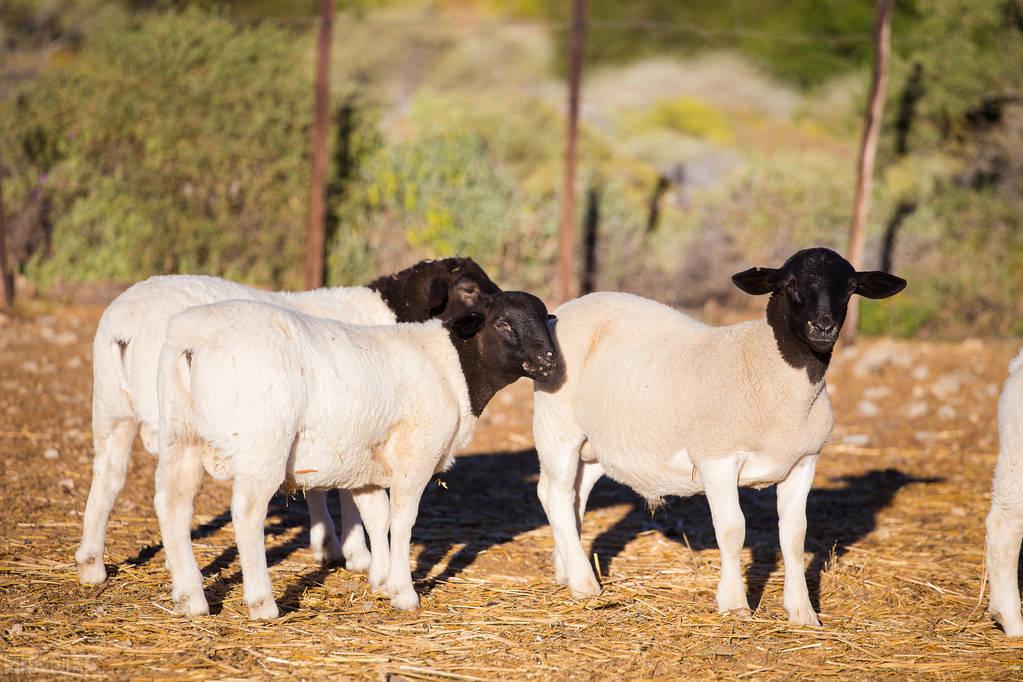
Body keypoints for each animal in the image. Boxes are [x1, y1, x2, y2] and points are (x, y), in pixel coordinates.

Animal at [75, 258, 499, 584]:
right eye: (468, 289)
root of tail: (123, 327)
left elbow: (319, 485)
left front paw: (328, 543)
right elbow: (345, 490)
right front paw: (354, 552)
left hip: (111, 411)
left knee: (108, 478)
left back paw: (92, 565)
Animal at [151, 290, 556, 617]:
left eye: (544, 318)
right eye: (502, 323)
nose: (549, 360)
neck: (450, 366)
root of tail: (194, 341)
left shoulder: (366, 463)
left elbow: (377, 518)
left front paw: (382, 579)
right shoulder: (416, 453)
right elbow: (402, 521)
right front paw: (404, 592)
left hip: (180, 437)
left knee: (172, 505)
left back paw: (190, 599)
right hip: (262, 445)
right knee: (247, 514)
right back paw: (262, 603)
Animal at [531, 248, 908, 625]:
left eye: (850, 288)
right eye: (789, 285)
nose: (823, 327)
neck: (767, 369)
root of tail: (568, 308)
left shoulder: (804, 461)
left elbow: (794, 534)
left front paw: (802, 611)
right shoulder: (717, 458)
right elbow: (732, 529)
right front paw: (735, 604)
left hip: (598, 444)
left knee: (574, 495)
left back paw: (566, 570)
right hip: (557, 426)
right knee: (556, 496)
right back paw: (584, 584)